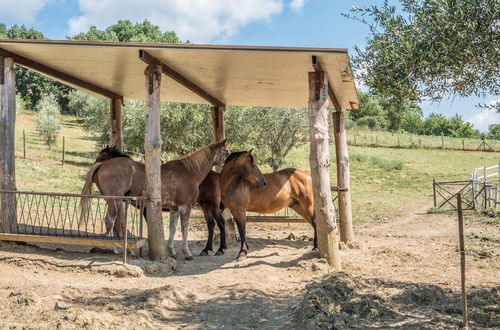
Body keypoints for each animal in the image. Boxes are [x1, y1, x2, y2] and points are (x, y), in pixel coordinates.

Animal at [81, 141, 229, 260]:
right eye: (226, 151)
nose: (227, 162)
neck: (189, 171)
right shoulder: (185, 207)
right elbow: (184, 229)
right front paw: (186, 253)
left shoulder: (175, 208)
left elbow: (173, 228)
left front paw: (172, 251)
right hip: (114, 201)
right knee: (111, 221)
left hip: (208, 205)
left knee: (214, 224)